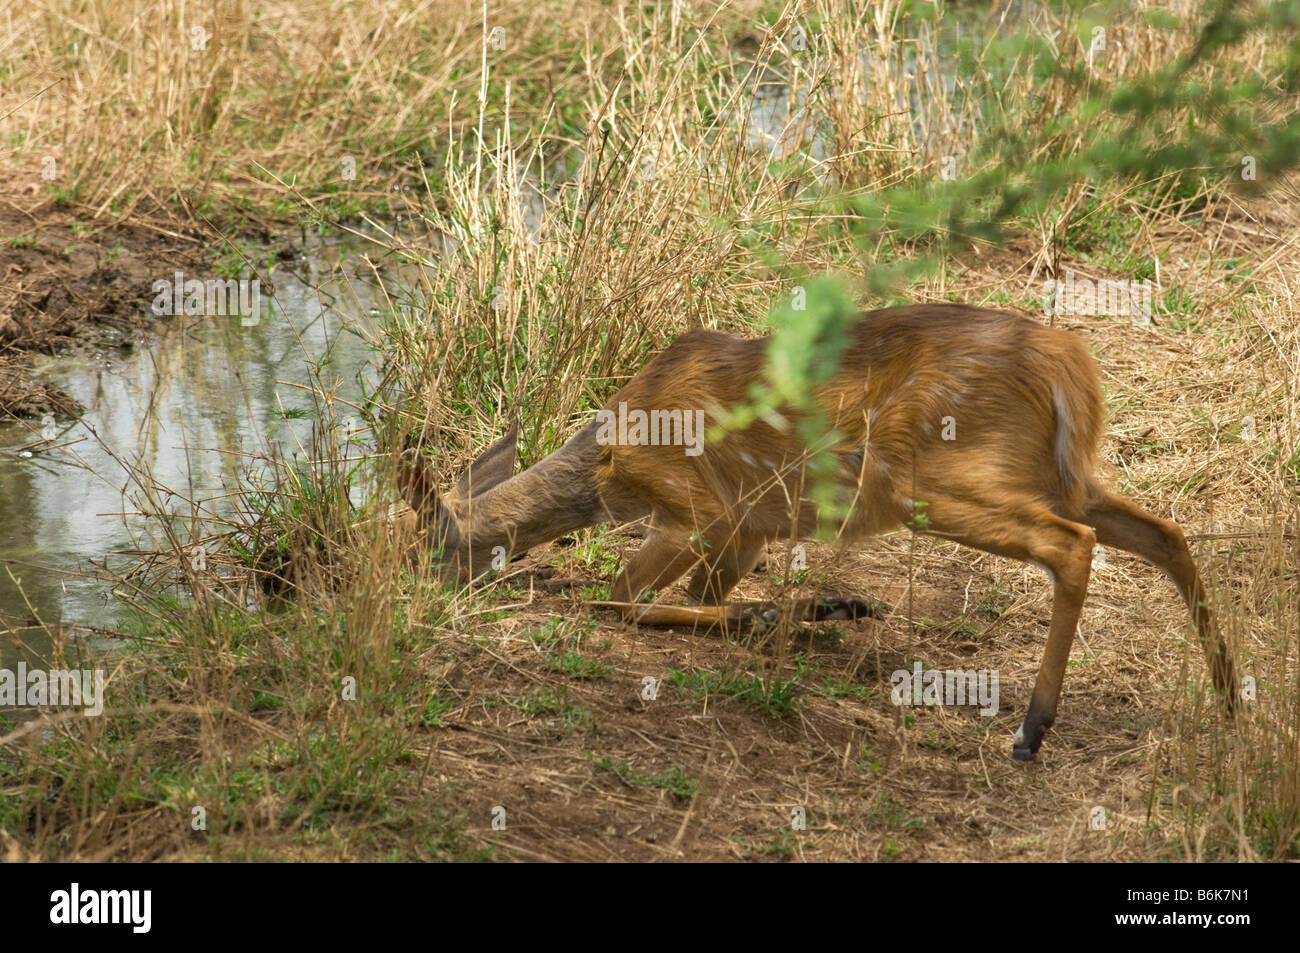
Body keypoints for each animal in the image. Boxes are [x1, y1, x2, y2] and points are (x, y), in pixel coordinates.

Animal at [397, 304, 1237, 759]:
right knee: (1167, 533)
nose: (412, 604)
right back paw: (1230, 694)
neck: (604, 462)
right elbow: (701, 600)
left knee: (1072, 545)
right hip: (1064, 475)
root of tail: (1070, 369)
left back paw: (1032, 730)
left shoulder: (699, 508)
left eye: (419, 550)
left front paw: (809, 611)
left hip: (928, 480)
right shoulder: (749, 530)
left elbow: (614, 599)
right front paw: (817, 610)